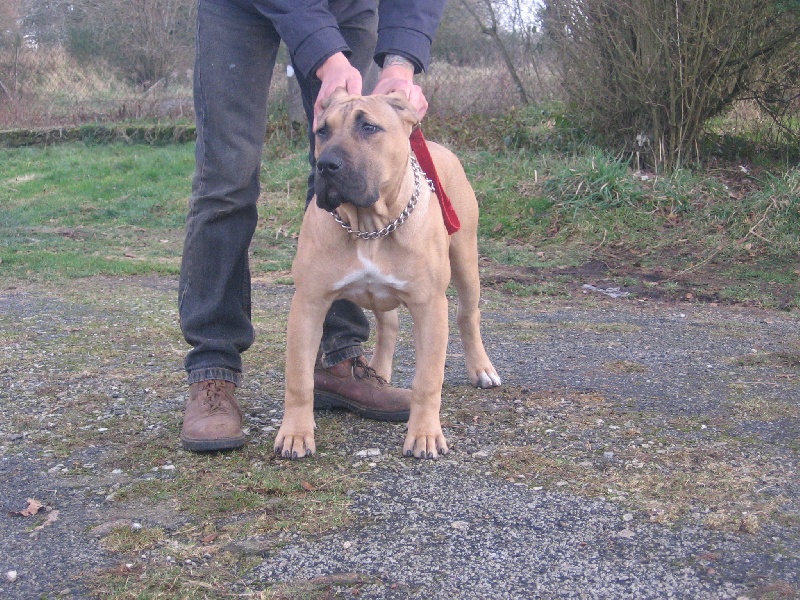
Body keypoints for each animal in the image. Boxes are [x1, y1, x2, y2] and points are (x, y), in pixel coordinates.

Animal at [275, 89, 501, 460]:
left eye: (369, 127)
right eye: (322, 131)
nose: (326, 165)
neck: (369, 225)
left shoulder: (429, 307)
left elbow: (427, 380)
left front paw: (424, 435)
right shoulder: (308, 304)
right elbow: (299, 378)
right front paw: (295, 433)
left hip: (466, 259)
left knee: (468, 316)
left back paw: (481, 369)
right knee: (389, 325)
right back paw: (378, 374)